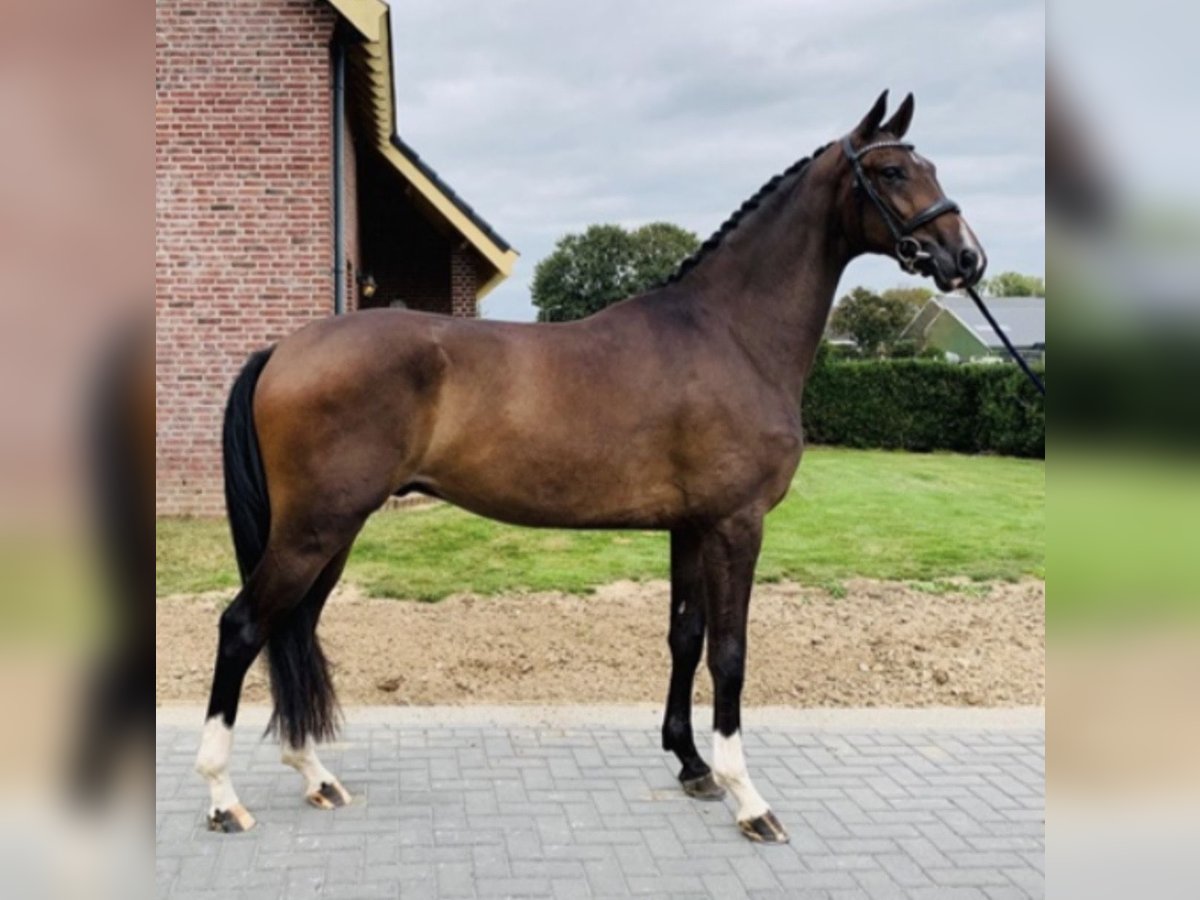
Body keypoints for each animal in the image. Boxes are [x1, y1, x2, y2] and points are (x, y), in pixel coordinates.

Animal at [195, 91, 987, 843]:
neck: (729, 333)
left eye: (930, 166)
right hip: (316, 528)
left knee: (292, 628)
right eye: (893, 171)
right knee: (242, 626)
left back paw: (315, 775)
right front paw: (749, 799)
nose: (967, 259)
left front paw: (692, 766)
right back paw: (224, 798)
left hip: (331, 531)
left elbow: (685, 638)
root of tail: (284, 349)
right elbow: (730, 653)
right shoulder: (737, 525)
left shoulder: (691, 527)